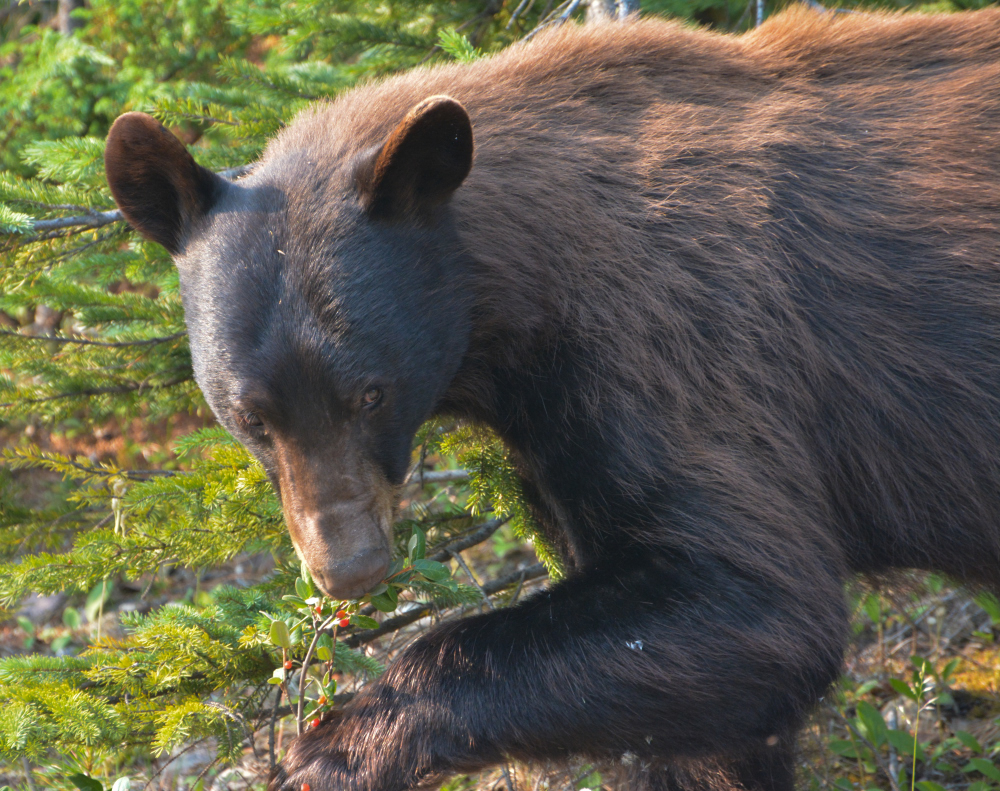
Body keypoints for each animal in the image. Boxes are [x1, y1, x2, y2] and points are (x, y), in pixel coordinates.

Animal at [104, 6, 1000, 791]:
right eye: (251, 415)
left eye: (371, 392)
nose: (351, 569)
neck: (522, 300)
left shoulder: (670, 350)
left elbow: (764, 600)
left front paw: (336, 748)